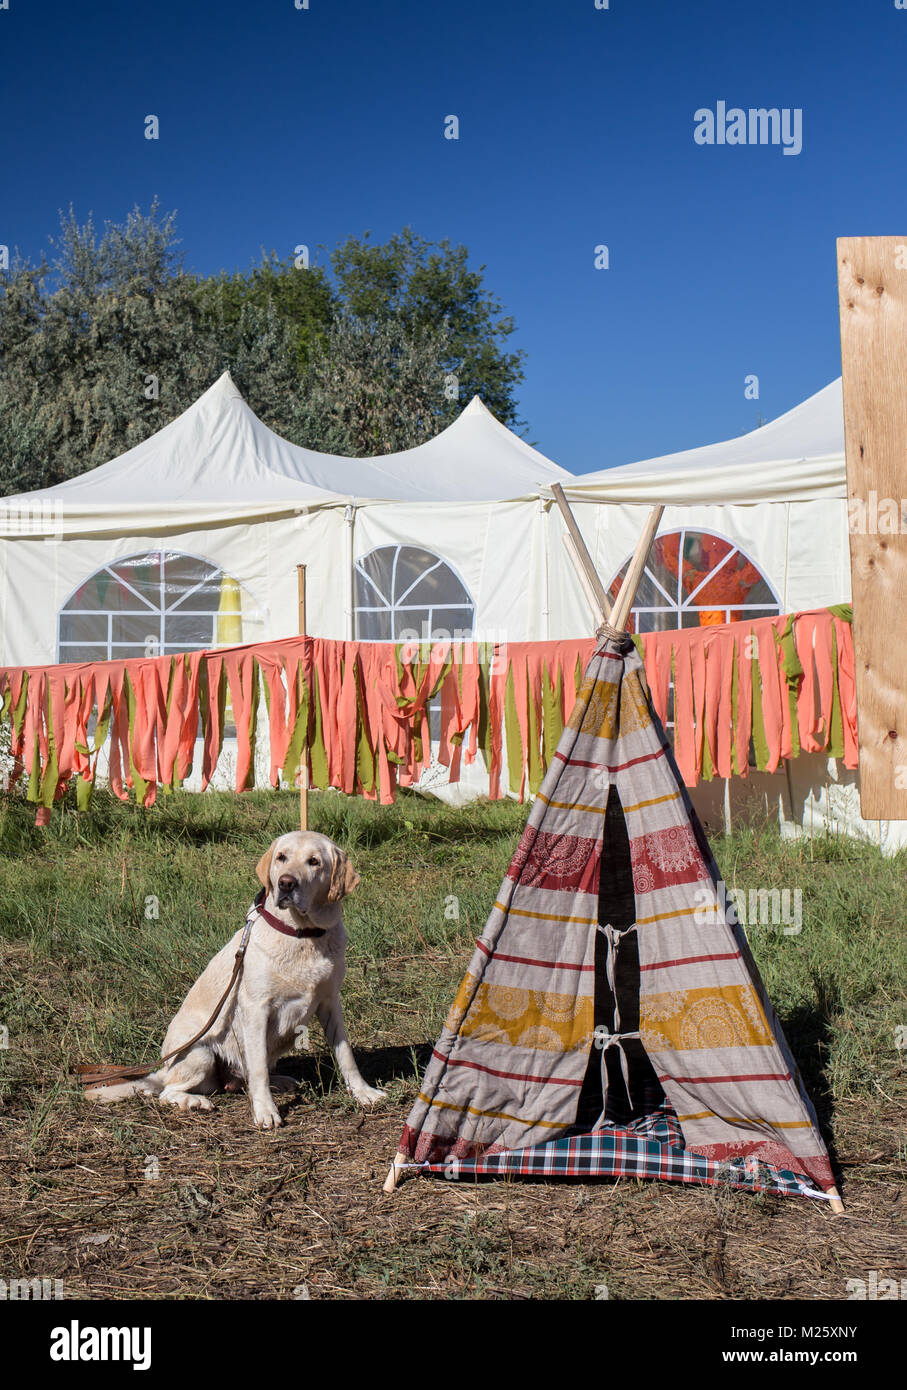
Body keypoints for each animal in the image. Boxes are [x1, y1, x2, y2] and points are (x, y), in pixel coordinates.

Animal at [82, 828, 383, 1123]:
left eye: (314, 861)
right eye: (282, 857)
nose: (286, 883)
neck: (302, 934)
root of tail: (163, 1069)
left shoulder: (330, 1002)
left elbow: (346, 1054)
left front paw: (363, 1092)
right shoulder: (257, 1008)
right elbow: (258, 1067)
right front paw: (265, 1111)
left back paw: (279, 1081)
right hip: (199, 1052)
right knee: (168, 1092)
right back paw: (195, 1101)